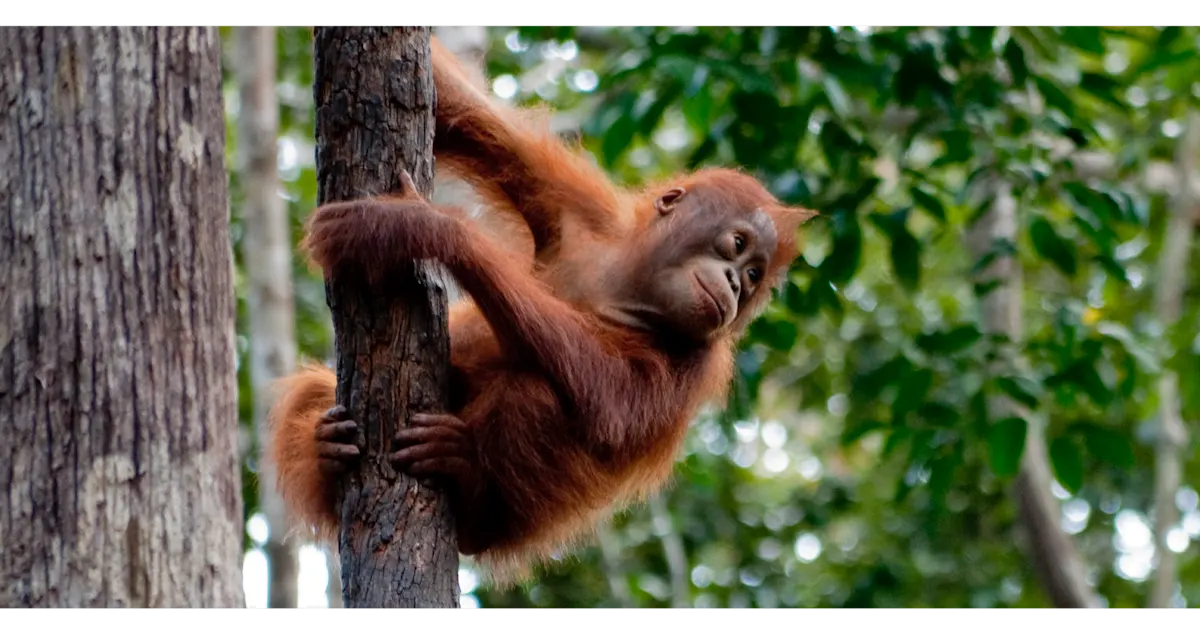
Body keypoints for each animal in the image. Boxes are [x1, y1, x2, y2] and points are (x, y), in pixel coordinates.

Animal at [266, 35, 818, 586]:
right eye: (737, 245)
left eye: (753, 276)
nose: (734, 284)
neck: (624, 284)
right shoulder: (573, 202)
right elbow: (466, 114)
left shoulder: (701, 359)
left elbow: (615, 407)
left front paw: (418, 226)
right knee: (314, 393)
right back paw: (325, 450)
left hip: (518, 522)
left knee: (537, 393)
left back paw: (467, 484)